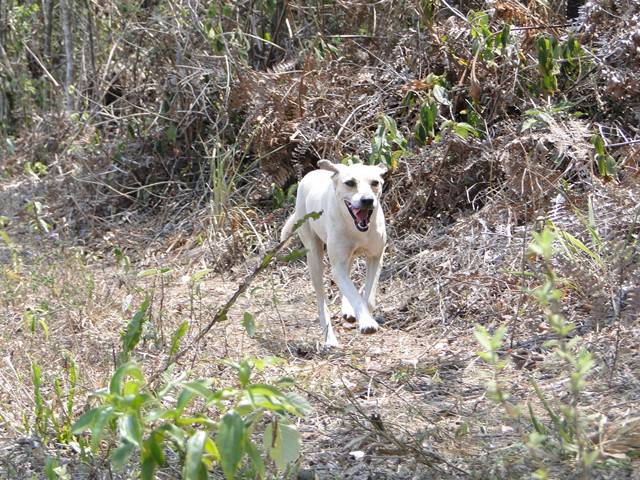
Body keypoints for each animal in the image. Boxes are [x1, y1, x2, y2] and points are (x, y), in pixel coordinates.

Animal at [282, 159, 390, 346]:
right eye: (350, 183)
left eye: (375, 183)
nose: (368, 200)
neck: (356, 229)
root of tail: (312, 173)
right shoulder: (337, 266)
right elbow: (353, 293)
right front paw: (366, 322)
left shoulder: (376, 257)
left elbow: (368, 297)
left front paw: (362, 313)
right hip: (314, 257)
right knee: (321, 302)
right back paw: (330, 339)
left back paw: (348, 311)